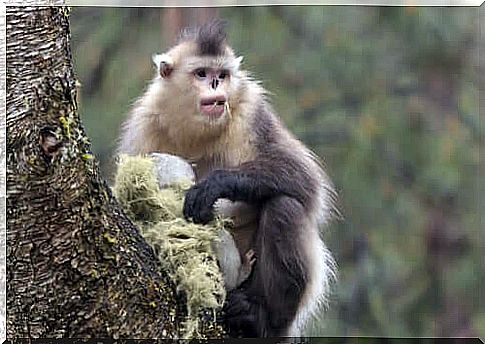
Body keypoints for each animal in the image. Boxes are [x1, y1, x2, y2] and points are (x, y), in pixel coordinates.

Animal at [117, 20, 336, 338]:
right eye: (201, 74)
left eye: (221, 75)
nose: (215, 86)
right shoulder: (143, 127)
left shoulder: (250, 108)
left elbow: (305, 179)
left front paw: (214, 185)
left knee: (284, 207)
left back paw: (259, 318)